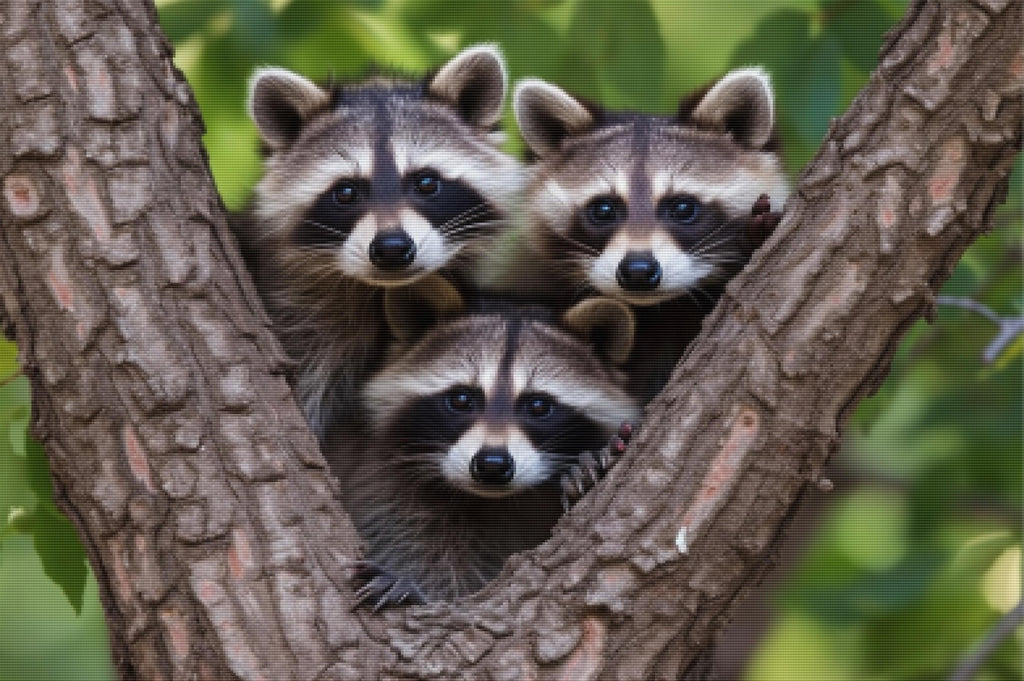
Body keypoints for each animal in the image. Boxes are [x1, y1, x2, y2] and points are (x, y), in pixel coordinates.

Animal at [325, 278, 640, 608]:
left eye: (538, 405)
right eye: (461, 399)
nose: (492, 465)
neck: (496, 500)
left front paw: (589, 467)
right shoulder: (385, 484)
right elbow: (418, 549)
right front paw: (416, 589)